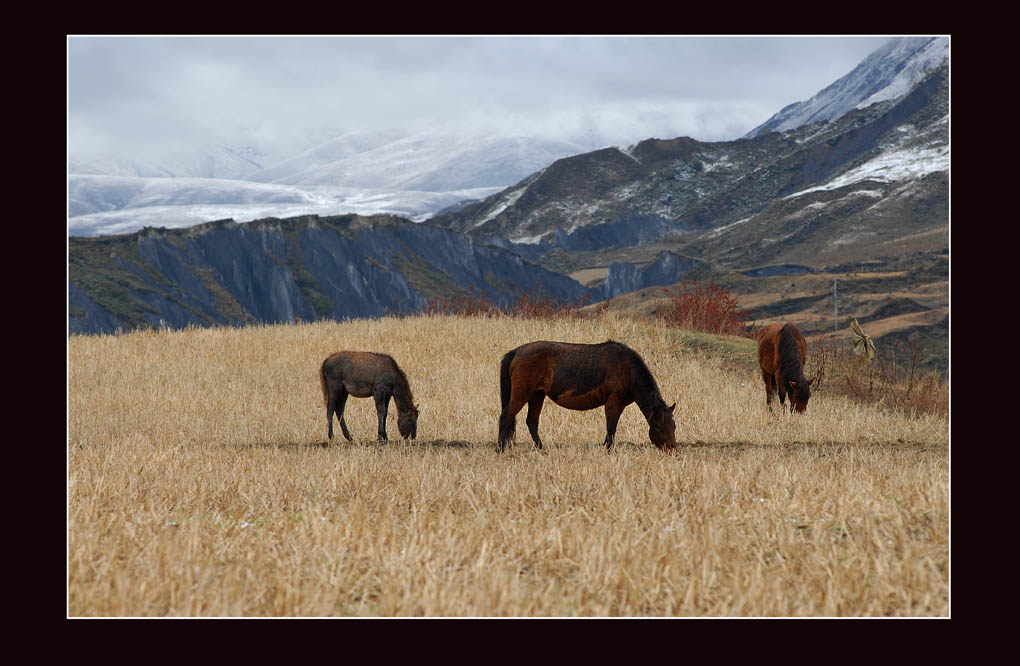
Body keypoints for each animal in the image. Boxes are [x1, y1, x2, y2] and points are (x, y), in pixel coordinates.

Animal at [495, 338, 677, 452]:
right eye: (660, 429)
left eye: (673, 427)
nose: (673, 450)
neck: (627, 369)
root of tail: (517, 351)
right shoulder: (612, 401)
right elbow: (611, 427)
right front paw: (609, 451)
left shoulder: (620, 405)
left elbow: (612, 429)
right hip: (522, 394)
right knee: (506, 417)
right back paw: (500, 449)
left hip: (537, 395)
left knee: (532, 422)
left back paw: (541, 448)